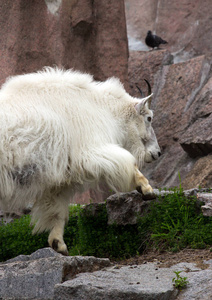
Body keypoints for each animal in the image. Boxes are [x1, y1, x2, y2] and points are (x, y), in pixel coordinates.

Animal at [0, 68, 160, 255]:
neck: (101, 107)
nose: (157, 153)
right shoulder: (90, 150)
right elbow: (129, 163)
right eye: (149, 118)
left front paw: (59, 245)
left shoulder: (58, 180)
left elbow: (57, 210)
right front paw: (147, 190)